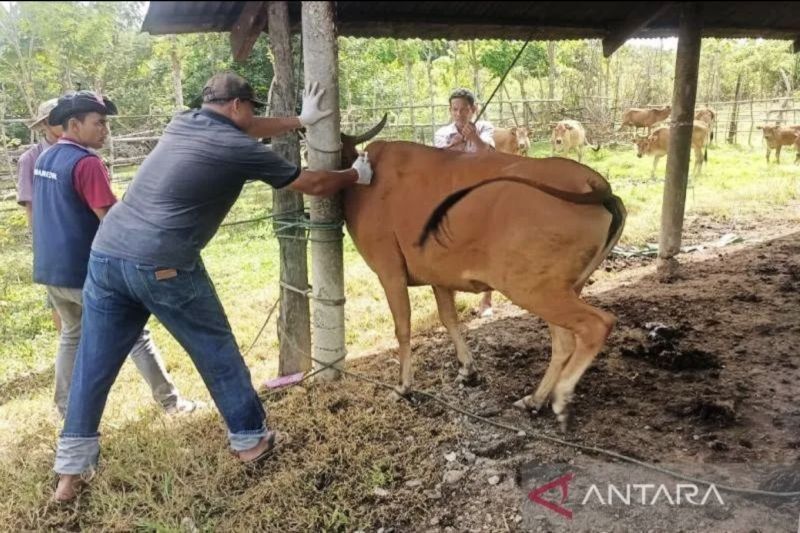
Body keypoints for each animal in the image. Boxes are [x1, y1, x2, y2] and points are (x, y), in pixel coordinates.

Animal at [340, 131, 628, 430]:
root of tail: (592, 180)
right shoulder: (438, 276)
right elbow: (449, 318)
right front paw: (467, 370)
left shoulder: (390, 272)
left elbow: (403, 328)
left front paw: (403, 387)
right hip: (560, 288)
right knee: (564, 343)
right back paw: (535, 400)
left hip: (532, 289)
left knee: (596, 325)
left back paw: (560, 398)